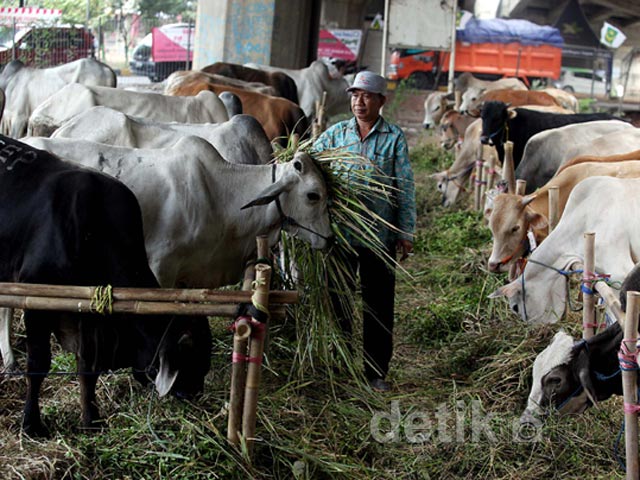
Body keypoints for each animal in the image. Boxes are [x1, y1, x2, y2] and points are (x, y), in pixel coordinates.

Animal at [0, 134, 212, 436]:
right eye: (190, 357)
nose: (195, 392)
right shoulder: (37, 301)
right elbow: (38, 364)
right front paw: (32, 424)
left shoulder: (90, 312)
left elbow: (88, 366)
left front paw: (92, 420)